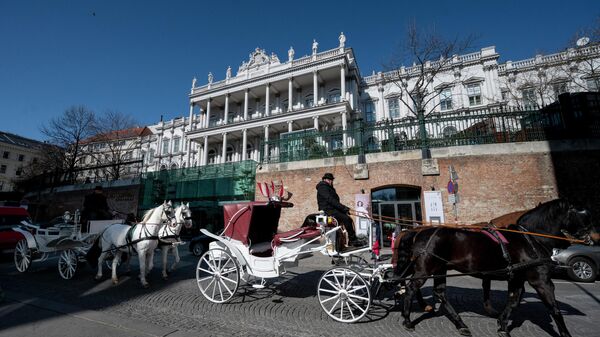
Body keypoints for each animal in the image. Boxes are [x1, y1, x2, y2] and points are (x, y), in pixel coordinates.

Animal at [394, 198, 596, 336]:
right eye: (582, 212)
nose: (593, 237)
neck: (529, 238)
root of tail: (417, 232)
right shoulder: (541, 280)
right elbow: (553, 308)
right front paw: (565, 333)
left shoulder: (516, 278)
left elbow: (513, 300)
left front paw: (502, 324)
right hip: (425, 269)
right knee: (411, 288)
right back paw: (408, 320)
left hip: (439, 269)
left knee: (440, 292)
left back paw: (460, 324)